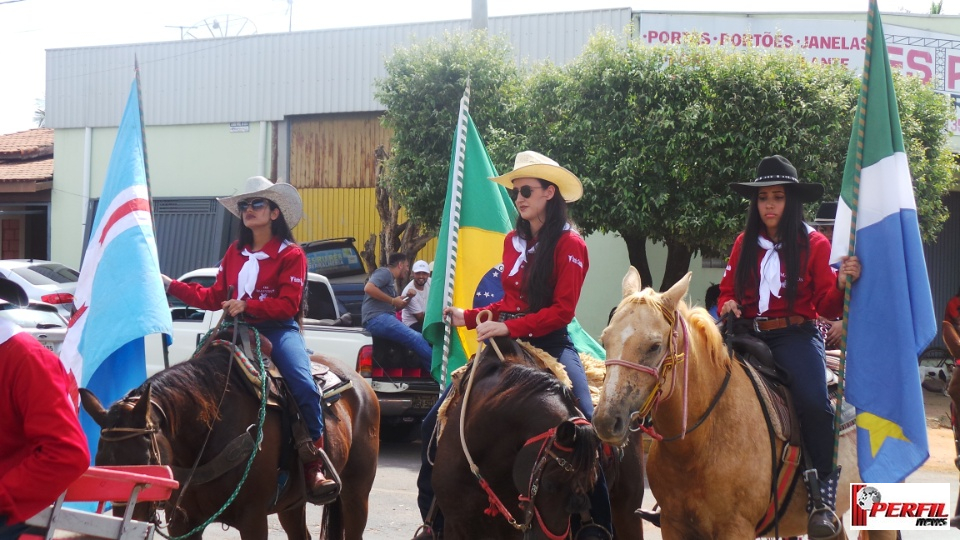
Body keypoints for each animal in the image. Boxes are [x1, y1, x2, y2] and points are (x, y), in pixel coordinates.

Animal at [79, 338, 378, 540]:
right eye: (101, 462)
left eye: (147, 460)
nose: (125, 522)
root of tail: (361, 384)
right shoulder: (183, 522)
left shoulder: (253, 519)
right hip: (292, 504)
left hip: (356, 493)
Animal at [588, 270, 896, 540]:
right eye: (605, 339)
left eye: (653, 346)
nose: (606, 420)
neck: (699, 444)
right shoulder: (673, 526)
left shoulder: (735, 529)